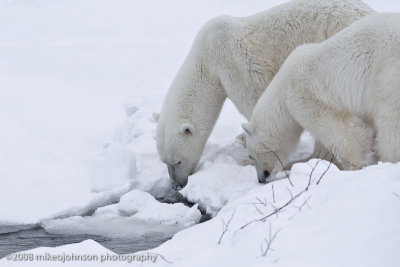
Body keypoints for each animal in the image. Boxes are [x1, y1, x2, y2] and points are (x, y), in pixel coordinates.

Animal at [155, 0, 376, 191]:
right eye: (164, 161)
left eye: (177, 161)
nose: (176, 185)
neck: (204, 57)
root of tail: (367, 12)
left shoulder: (233, 60)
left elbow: (257, 98)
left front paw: (249, 150)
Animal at [242, 12, 400, 184]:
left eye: (251, 155)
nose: (262, 178)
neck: (282, 91)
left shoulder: (304, 95)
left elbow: (340, 129)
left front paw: (354, 165)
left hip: (387, 69)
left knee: (389, 118)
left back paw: (389, 158)